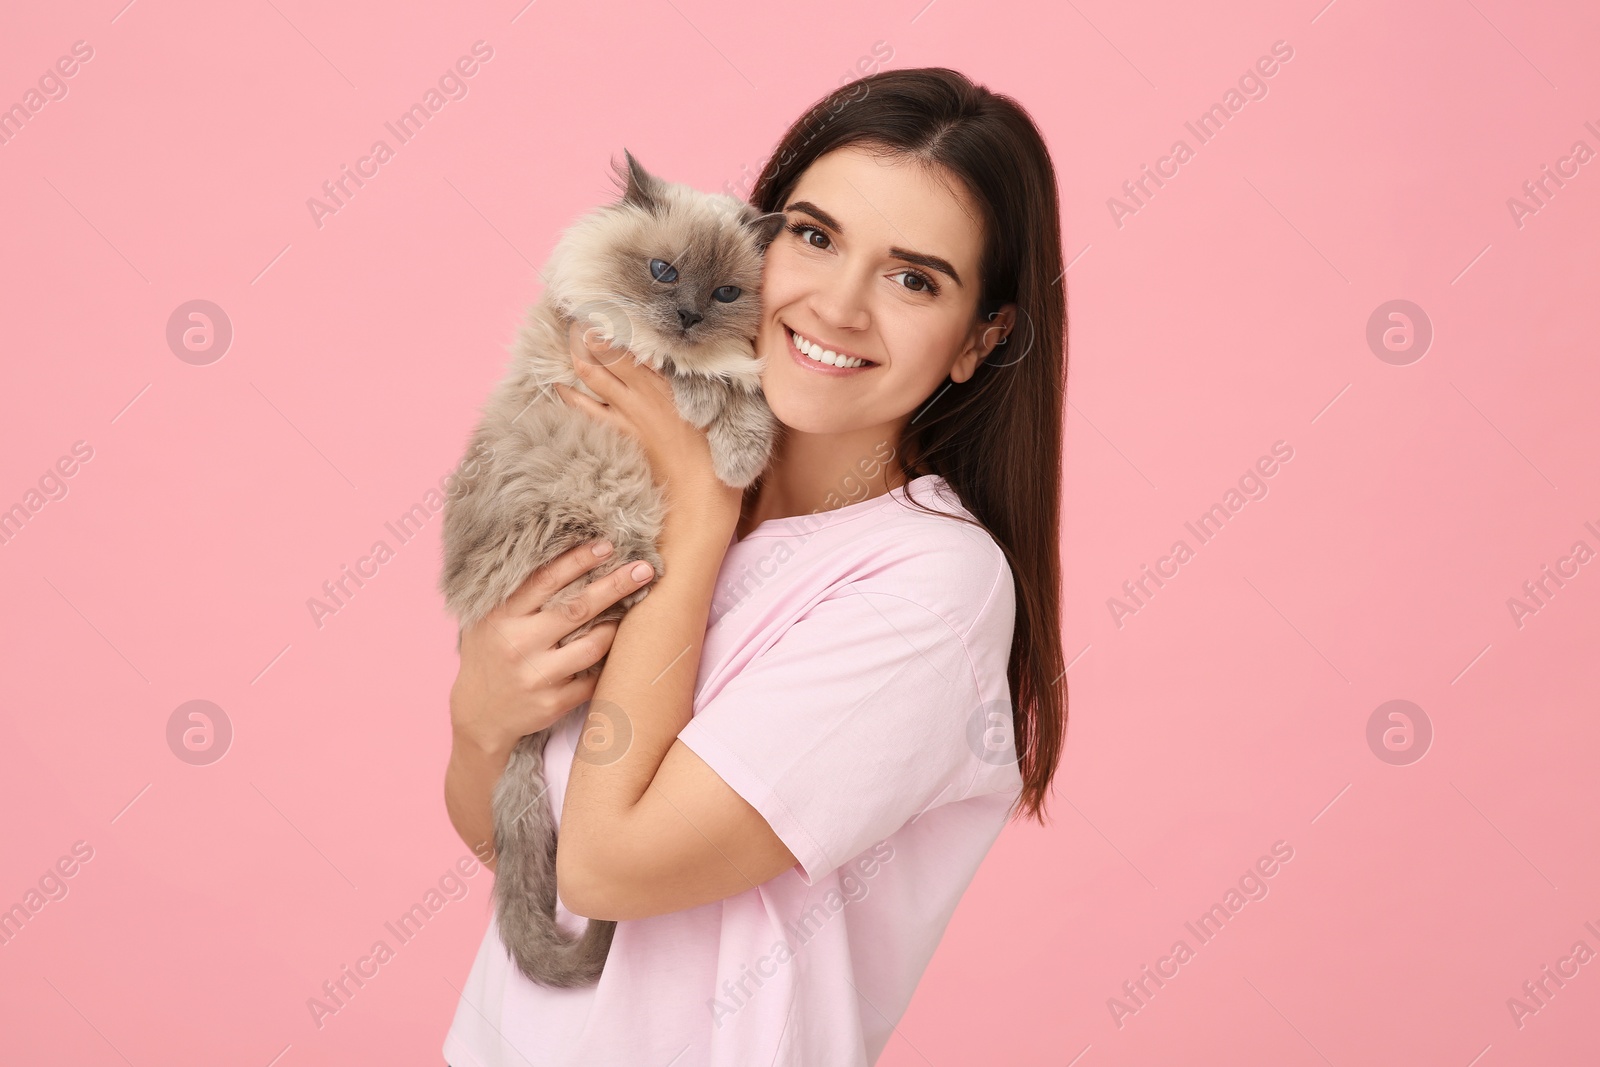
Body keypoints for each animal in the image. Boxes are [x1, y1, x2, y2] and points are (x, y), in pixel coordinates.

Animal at [438, 154, 787, 991]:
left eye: (726, 294)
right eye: (664, 273)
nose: (688, 317)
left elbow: (748, 396)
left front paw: (738, 452)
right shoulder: (612, 343)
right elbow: (700, 381)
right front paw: (710, 414)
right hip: (596, 515)